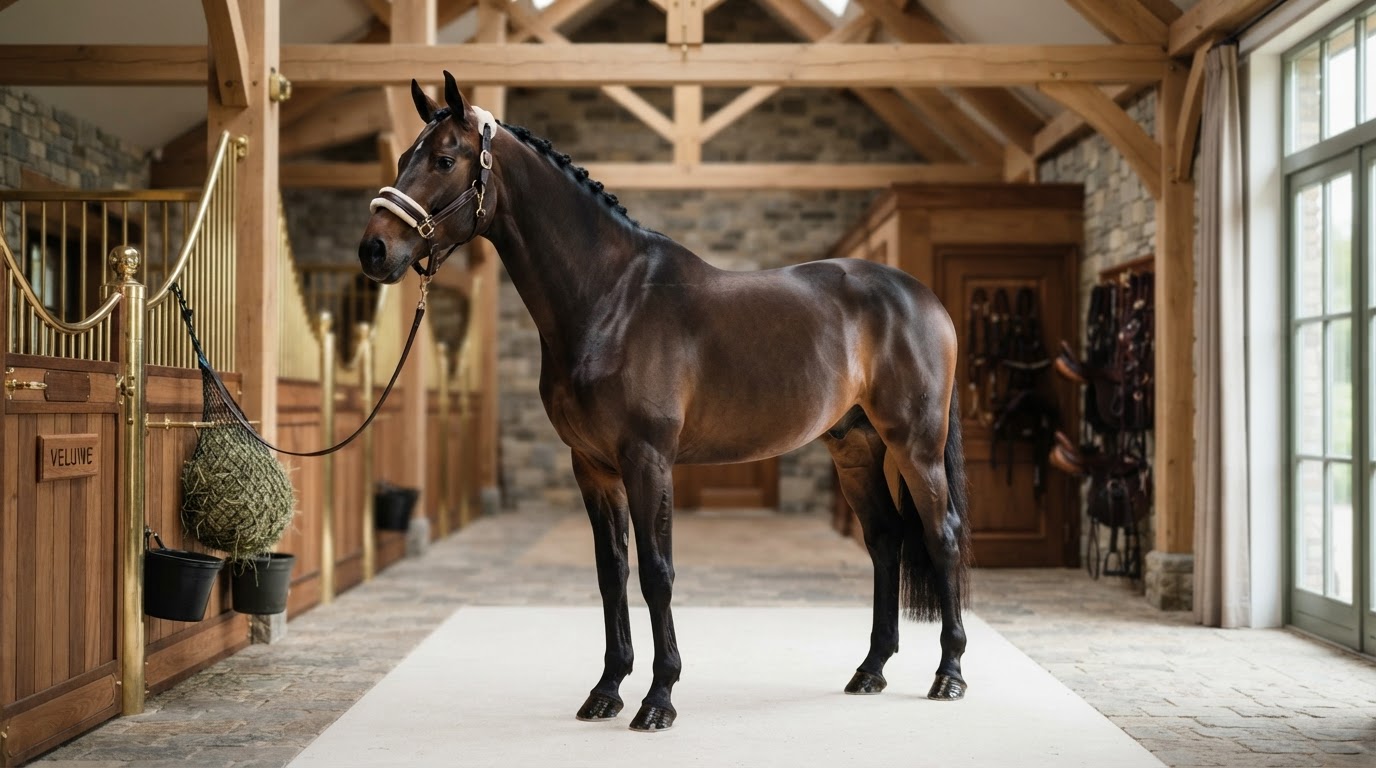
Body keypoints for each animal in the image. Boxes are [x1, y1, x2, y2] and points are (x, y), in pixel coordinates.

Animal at [358, 72, 972, 733]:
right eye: (404, 154)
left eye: (445, 159)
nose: (373, 250)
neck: (611, 300)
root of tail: (925, 299)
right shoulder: (592, 466)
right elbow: (612, 573)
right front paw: (606, 690)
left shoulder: (647, 459)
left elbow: (657, 572)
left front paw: (658, 699)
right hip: (855, 447)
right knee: (885, 539)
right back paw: (870, 671)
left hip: (915, 445)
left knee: (941, 536)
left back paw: (949, 675)